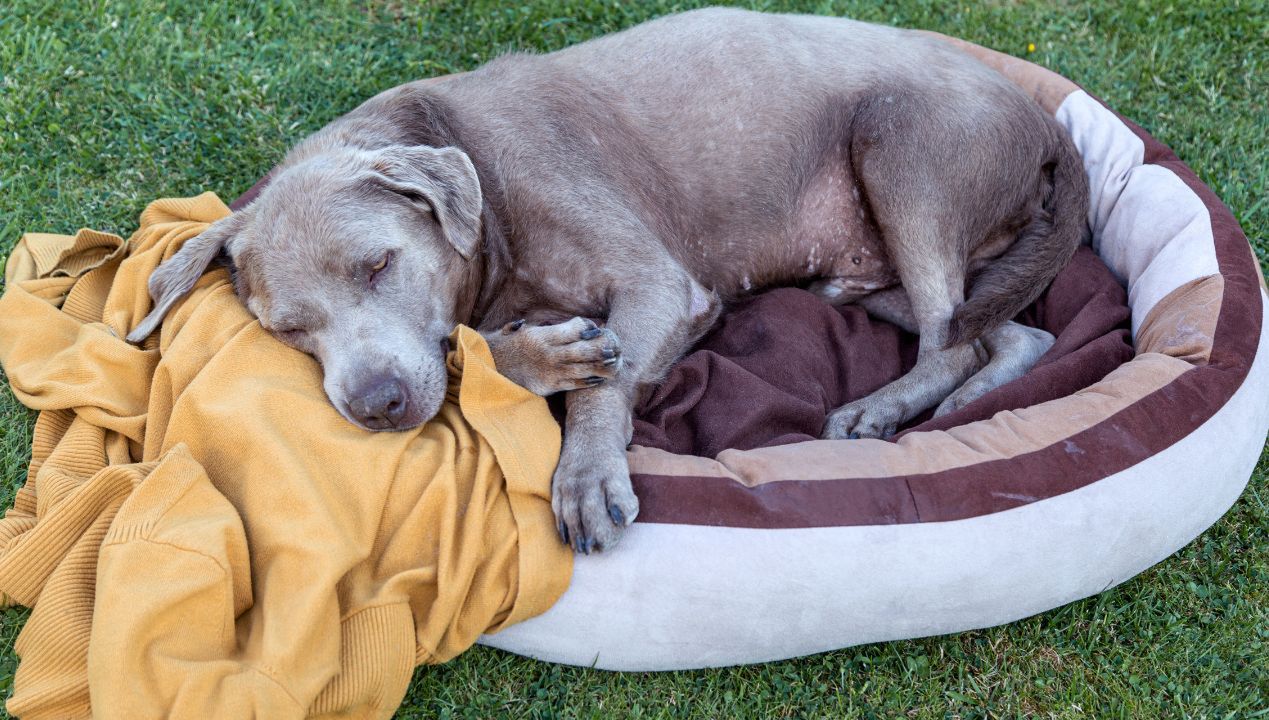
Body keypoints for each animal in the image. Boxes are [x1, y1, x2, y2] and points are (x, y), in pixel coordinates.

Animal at [136, 7, 1091, 551]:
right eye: (288, 329)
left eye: (378, 263)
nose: (377, 407)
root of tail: (1049, 122)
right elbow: (476, 349)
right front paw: (540, 357)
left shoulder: (662, 285)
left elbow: (603, 377)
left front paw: (585, 477)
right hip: (886, 269)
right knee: (1003, 328)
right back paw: (966, 396)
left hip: (902, 151)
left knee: (949, 341)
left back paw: (881, 413)